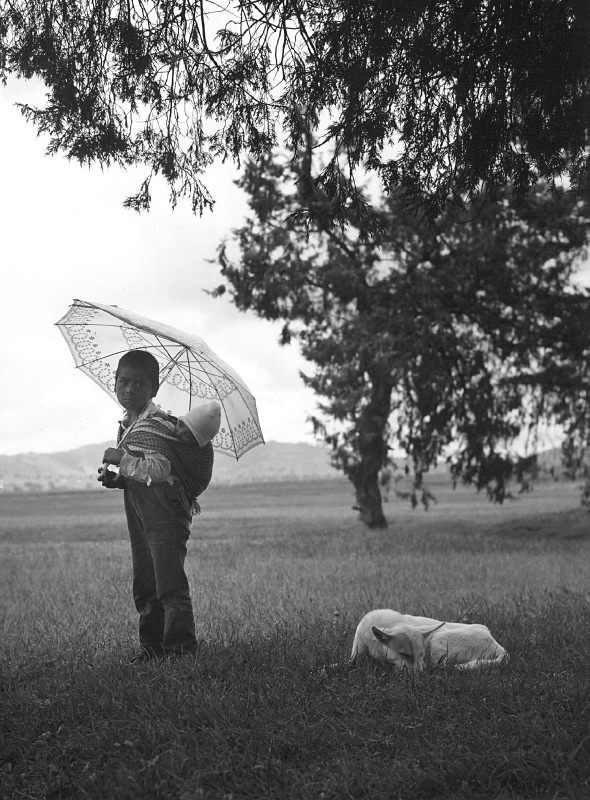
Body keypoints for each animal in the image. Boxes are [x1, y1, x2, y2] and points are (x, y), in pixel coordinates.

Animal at [352, 608, 508, 672]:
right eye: (404, 654)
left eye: (421, 655)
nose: (419, 675)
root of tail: (500, 648)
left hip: (437, 639)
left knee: (441, 666)